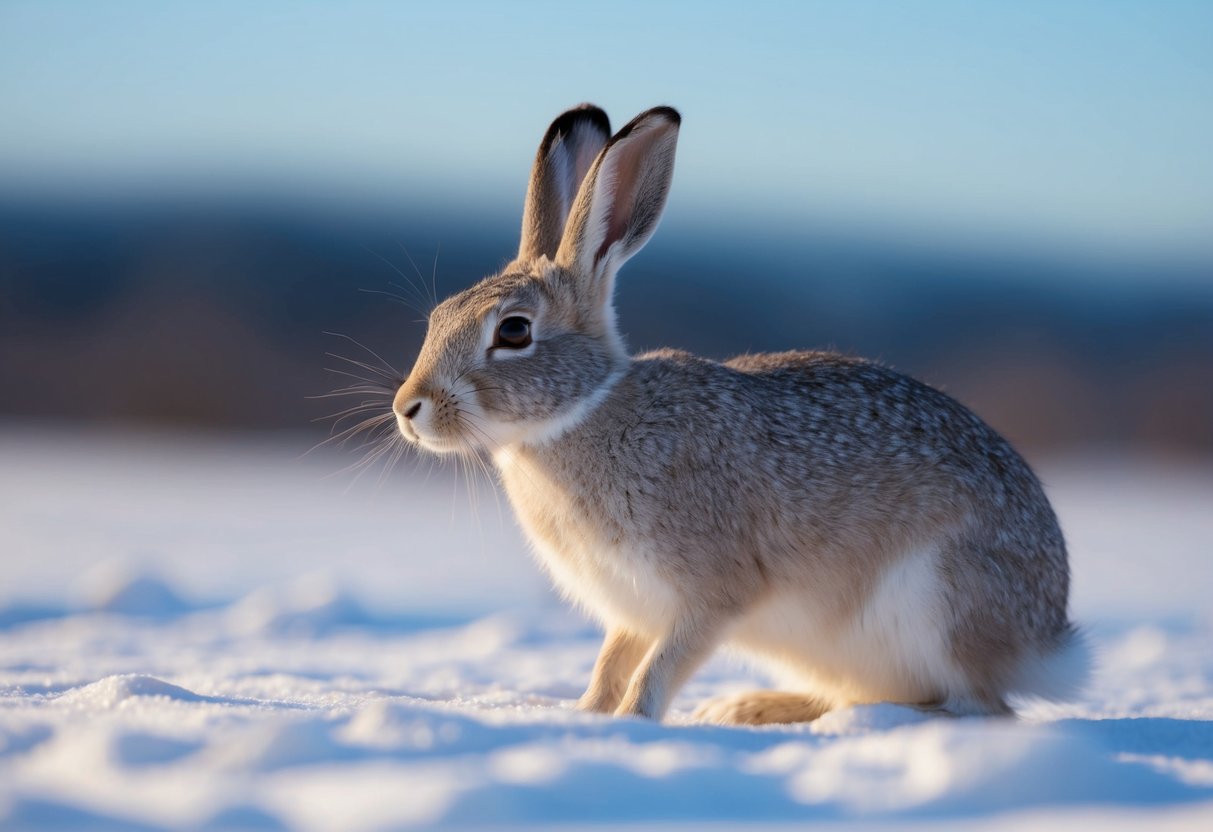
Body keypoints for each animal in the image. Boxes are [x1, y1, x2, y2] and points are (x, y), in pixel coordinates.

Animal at [391, 103, 1088, 725]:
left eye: (513, 331)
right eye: (440, 315)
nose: (408, 409)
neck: (583, 412)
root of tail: (1046, 639)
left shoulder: (712, 593)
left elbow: (658, 667)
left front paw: (630, 723)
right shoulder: (632, 610)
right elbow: (612, 664)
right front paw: (585, 716)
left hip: (937, 600)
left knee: (978, 705)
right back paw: (749, 707)